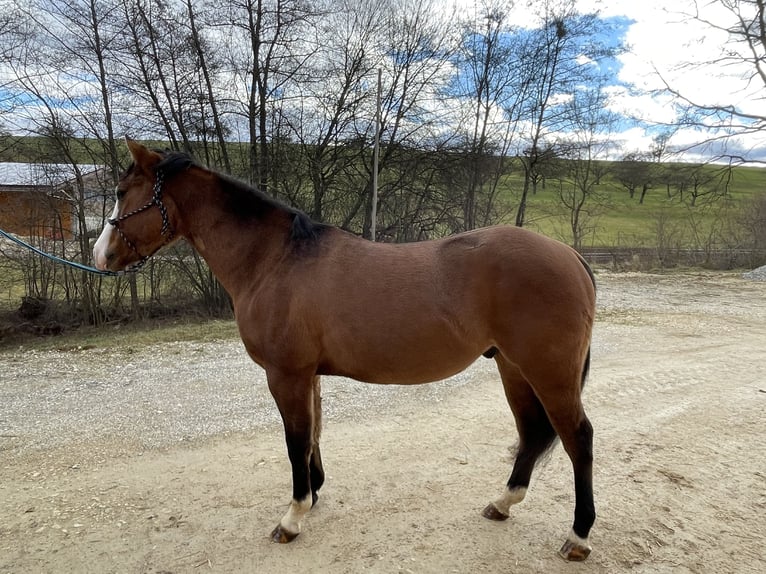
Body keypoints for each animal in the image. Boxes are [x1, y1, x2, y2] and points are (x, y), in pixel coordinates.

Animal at [94, 140, 600, 564]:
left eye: (120, 192)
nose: (100, 255)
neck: (275, 260)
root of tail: (571, 256)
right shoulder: (308, 374)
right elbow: (314, 433)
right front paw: (314, 494)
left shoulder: (286, 374)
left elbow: (296, 440)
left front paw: (292, 518)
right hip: (514, 368)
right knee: (532, 433)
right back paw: (501, 503)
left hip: (548, 371)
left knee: (578, 438)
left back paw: (577, 536)